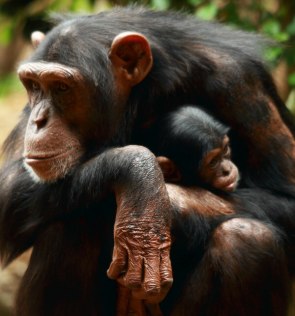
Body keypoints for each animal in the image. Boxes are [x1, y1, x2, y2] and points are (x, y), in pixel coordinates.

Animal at [0, 6, 295, 316]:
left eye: (61, 87)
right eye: (33, 85)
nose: (39, 120)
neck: (141, 93)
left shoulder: (238, 82)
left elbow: (286, 198)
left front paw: (164, 207)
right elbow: (11, 188)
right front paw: (141, 182)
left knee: (247, 238)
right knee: (73, 220)